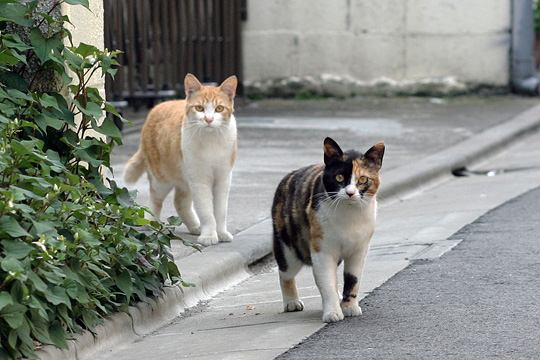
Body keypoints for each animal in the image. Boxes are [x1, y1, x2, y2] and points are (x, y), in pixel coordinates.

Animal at [125, 74, 239, 246]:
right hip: (162, 179)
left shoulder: (223, 179)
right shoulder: (199, 180)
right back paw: (153, 222)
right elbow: (206, 211)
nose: (209, 119)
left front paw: (220, 232)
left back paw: (195, 226)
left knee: (180, 202)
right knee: (155, 199)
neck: (211, 141)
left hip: (185, 180)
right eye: (199, 108)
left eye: (219, 108)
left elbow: (220, 211)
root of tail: (157, 107)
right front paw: (209, 235)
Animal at [274, 136, 384, 322]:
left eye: (363, 179)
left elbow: (353, 279)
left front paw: (349, 307)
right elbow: (326, 283)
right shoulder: (322, 250)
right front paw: (332, 313)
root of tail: (288, 176)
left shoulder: (359, 250)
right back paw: (291, 302)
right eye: (339, 177)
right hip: (289, 249)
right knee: (285, 273)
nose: (350, 193)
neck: (349, 216)